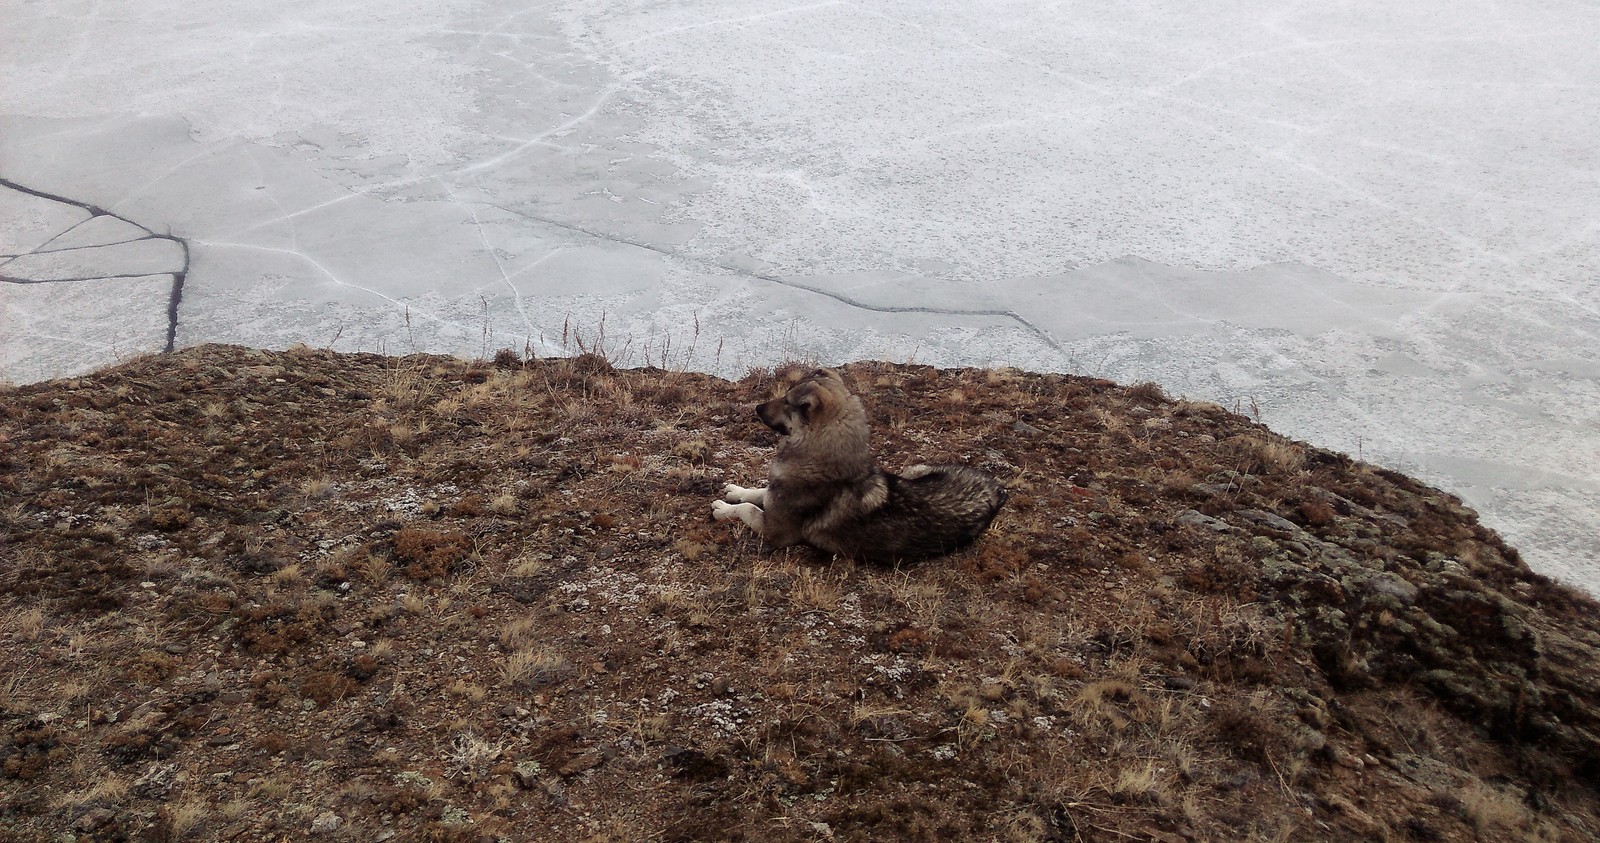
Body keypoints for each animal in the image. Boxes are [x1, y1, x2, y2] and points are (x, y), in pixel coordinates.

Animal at [710, 371, 1004, 563]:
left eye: (787, 401)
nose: (757, 407)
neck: (817, 457)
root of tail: (996, 489)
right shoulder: (775, 493)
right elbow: (759, 492)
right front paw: (736, 491)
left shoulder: (776, 530)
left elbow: (748, 509)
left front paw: (723, 509)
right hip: (913, 470)